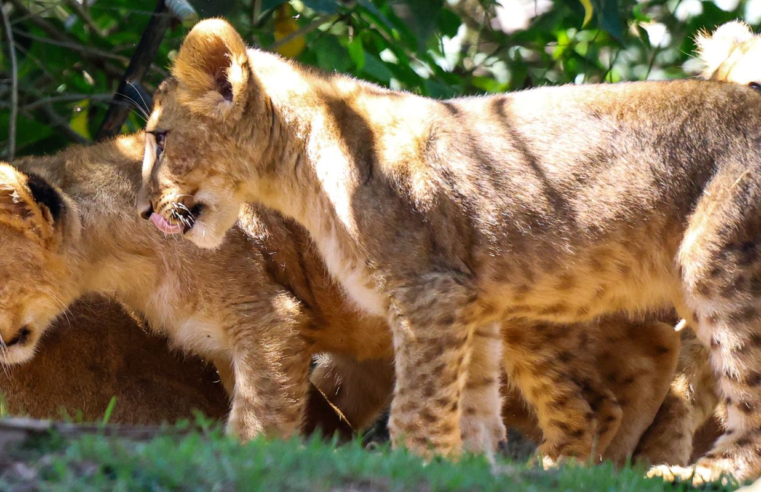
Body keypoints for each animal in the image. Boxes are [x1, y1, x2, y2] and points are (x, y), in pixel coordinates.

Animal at [138, 18, 761, 481]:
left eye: (161, 139)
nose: (143, 210)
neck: (302, 167)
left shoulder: (429, 291)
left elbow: (415, 408)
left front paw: (417, 465)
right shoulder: (474, 305)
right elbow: (472, 409)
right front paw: (467, 470)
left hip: (717, 265)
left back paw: (689, 475)